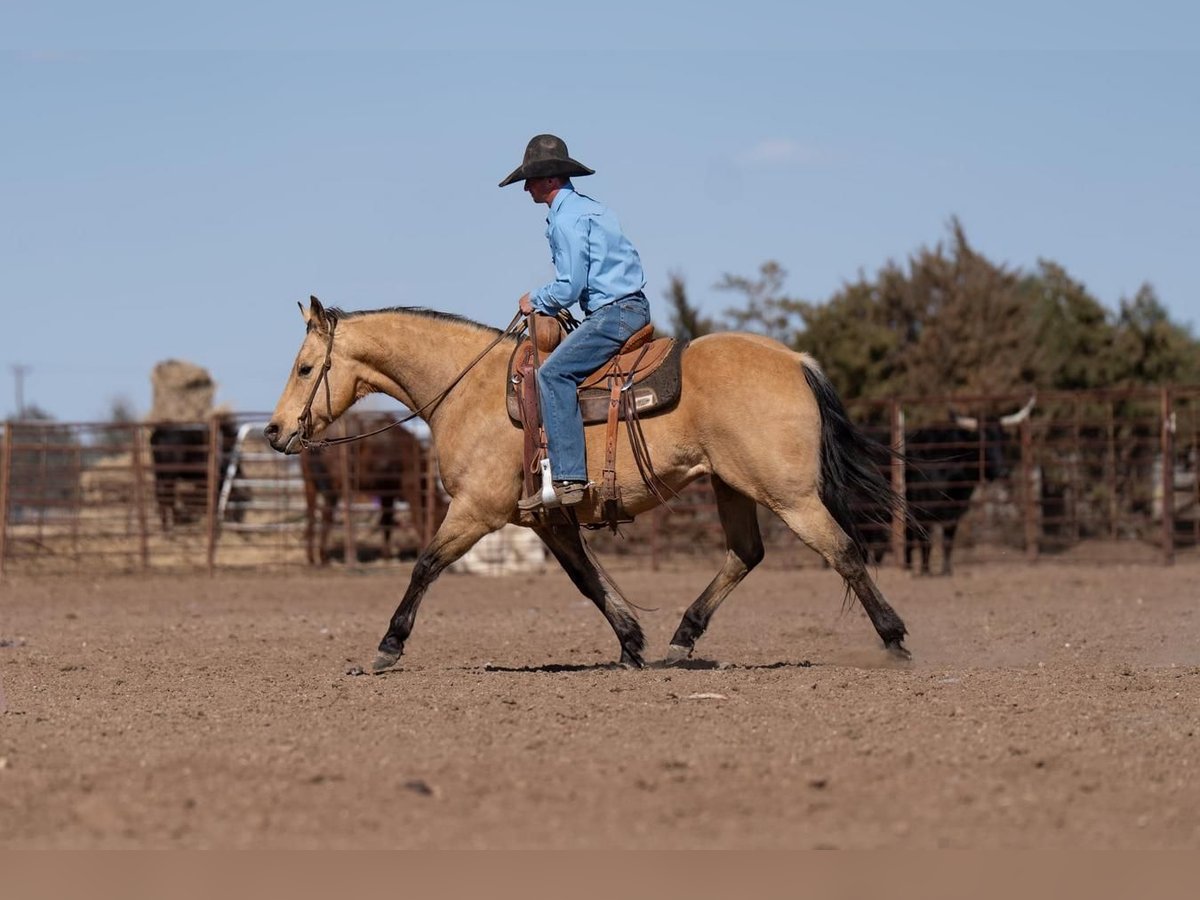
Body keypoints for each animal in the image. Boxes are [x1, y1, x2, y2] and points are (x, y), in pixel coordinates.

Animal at [265, 300, 907, 672]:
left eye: (304, 367)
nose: (274, 431)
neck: (469, 389)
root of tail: (796, 360)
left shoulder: (476, 510)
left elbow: (425, 564)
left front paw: (388, 646)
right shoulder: (546, 517)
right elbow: (587, 580)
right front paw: (631, 642)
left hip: (789, 495)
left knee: (842, 551)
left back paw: (895, 638)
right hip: (733, 487)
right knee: (745, 554)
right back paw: (681, 638)